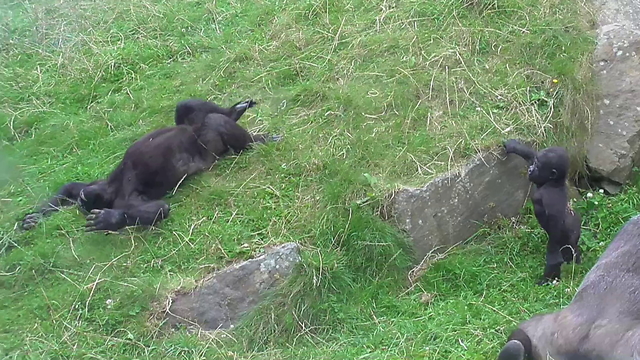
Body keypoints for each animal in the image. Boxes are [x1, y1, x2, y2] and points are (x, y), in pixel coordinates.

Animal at [20, 97, 280, 233]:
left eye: (86, 201)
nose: (84, 200)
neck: (111, 188)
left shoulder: (101, 185)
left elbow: (70, 188)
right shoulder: (124, 197)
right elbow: (159, 209)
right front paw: (114, 220)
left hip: (195, 127)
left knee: (190, 108)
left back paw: (238, 116)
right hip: (209, 147)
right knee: (212, 121)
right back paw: (249, 136)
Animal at [502, 139, 584, 286]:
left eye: (537, 166)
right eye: (534, 163)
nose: (530, 169)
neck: (553, 183)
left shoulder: (548, 198)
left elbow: (555, 227)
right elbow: (530, 155)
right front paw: (513, 146)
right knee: (572, 248)